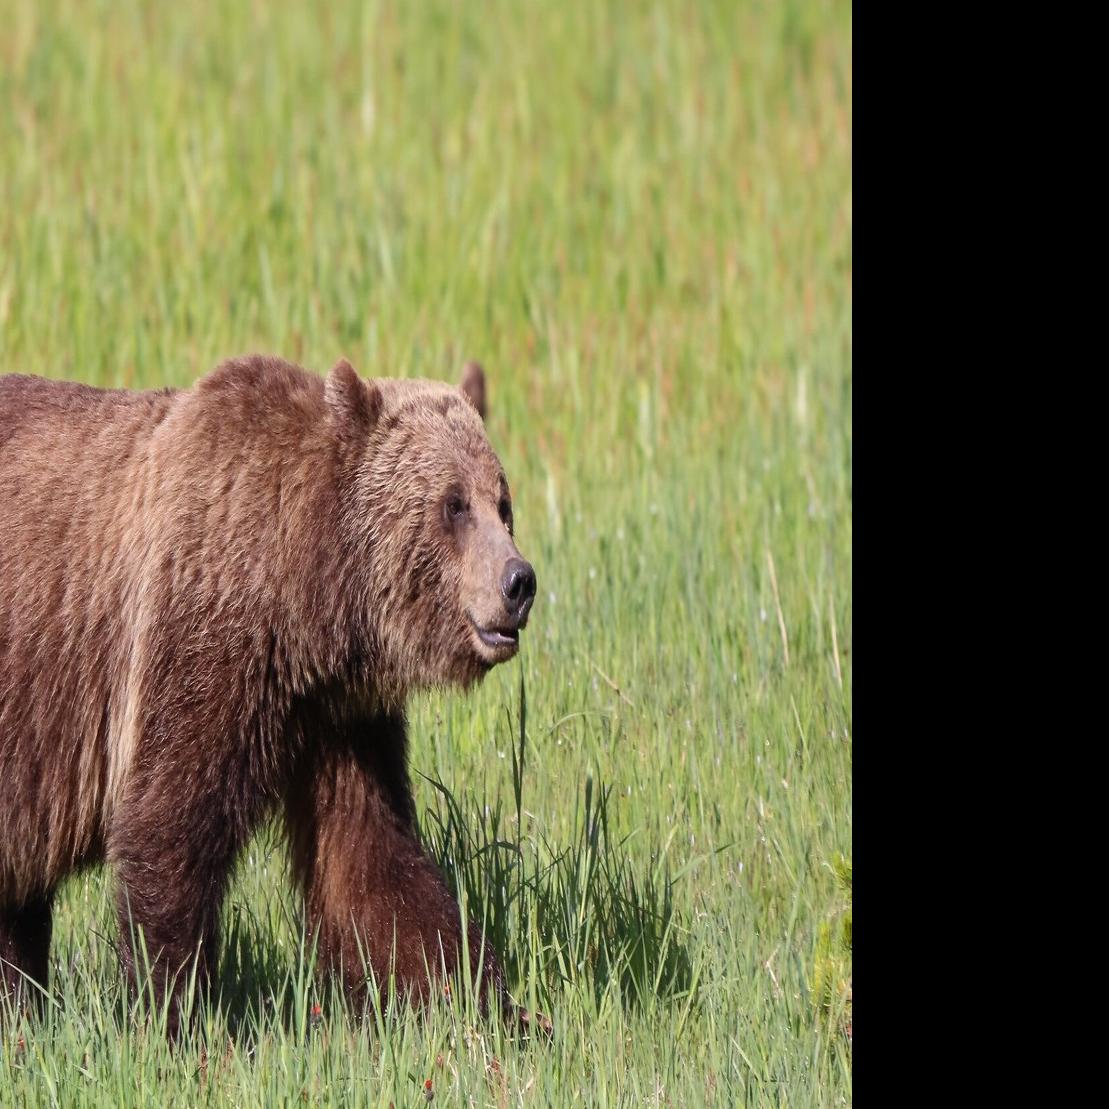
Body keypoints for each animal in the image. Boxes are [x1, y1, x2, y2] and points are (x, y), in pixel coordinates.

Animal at [0, 354, 542, 1036]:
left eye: (504, 502)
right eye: (453, 504)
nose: (519, 582)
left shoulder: (338, 715)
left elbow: (371, 862)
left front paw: (499, 1007)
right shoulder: (205, 640)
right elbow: (167, 827)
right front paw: (172, 1011)